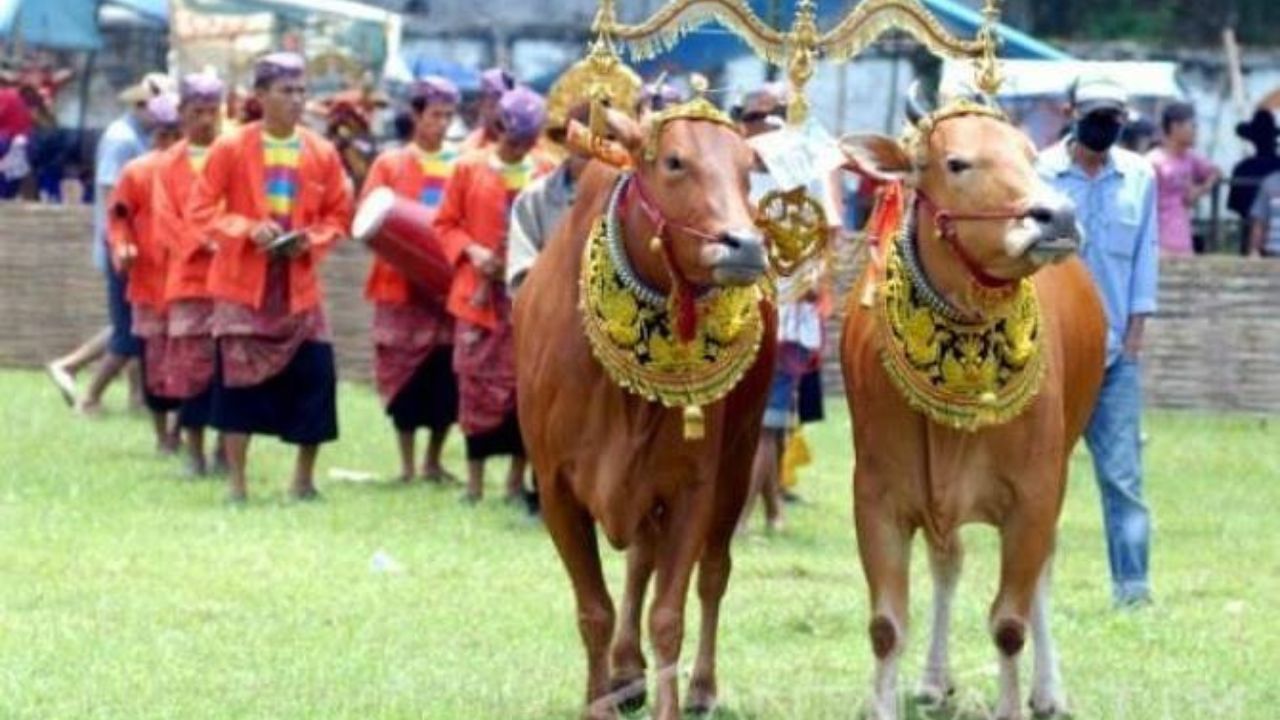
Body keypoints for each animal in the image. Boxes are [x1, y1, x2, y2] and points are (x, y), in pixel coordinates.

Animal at [514, 106, 773, 717]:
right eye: (675, 161)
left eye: (748, 167)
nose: (745, 246)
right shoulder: (556, 488)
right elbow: (595, 610)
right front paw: (600, 702)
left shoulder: (691, 487)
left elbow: (668, 615)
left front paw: (670, 705)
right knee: (637, 566)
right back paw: (626, 673)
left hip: (739, 457)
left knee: (712, 573)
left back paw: (700, 687)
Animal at [844, 96, 1105, 717]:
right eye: (957, 162)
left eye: (1031, 156)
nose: (1057, 217)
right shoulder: (877, 498)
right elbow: (886, 626)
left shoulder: (1035, 496)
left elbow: (1010, 624)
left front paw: (1015, 702)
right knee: (948, 561)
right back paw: (935, 680)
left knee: (1040, 575)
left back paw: (1048, 692)